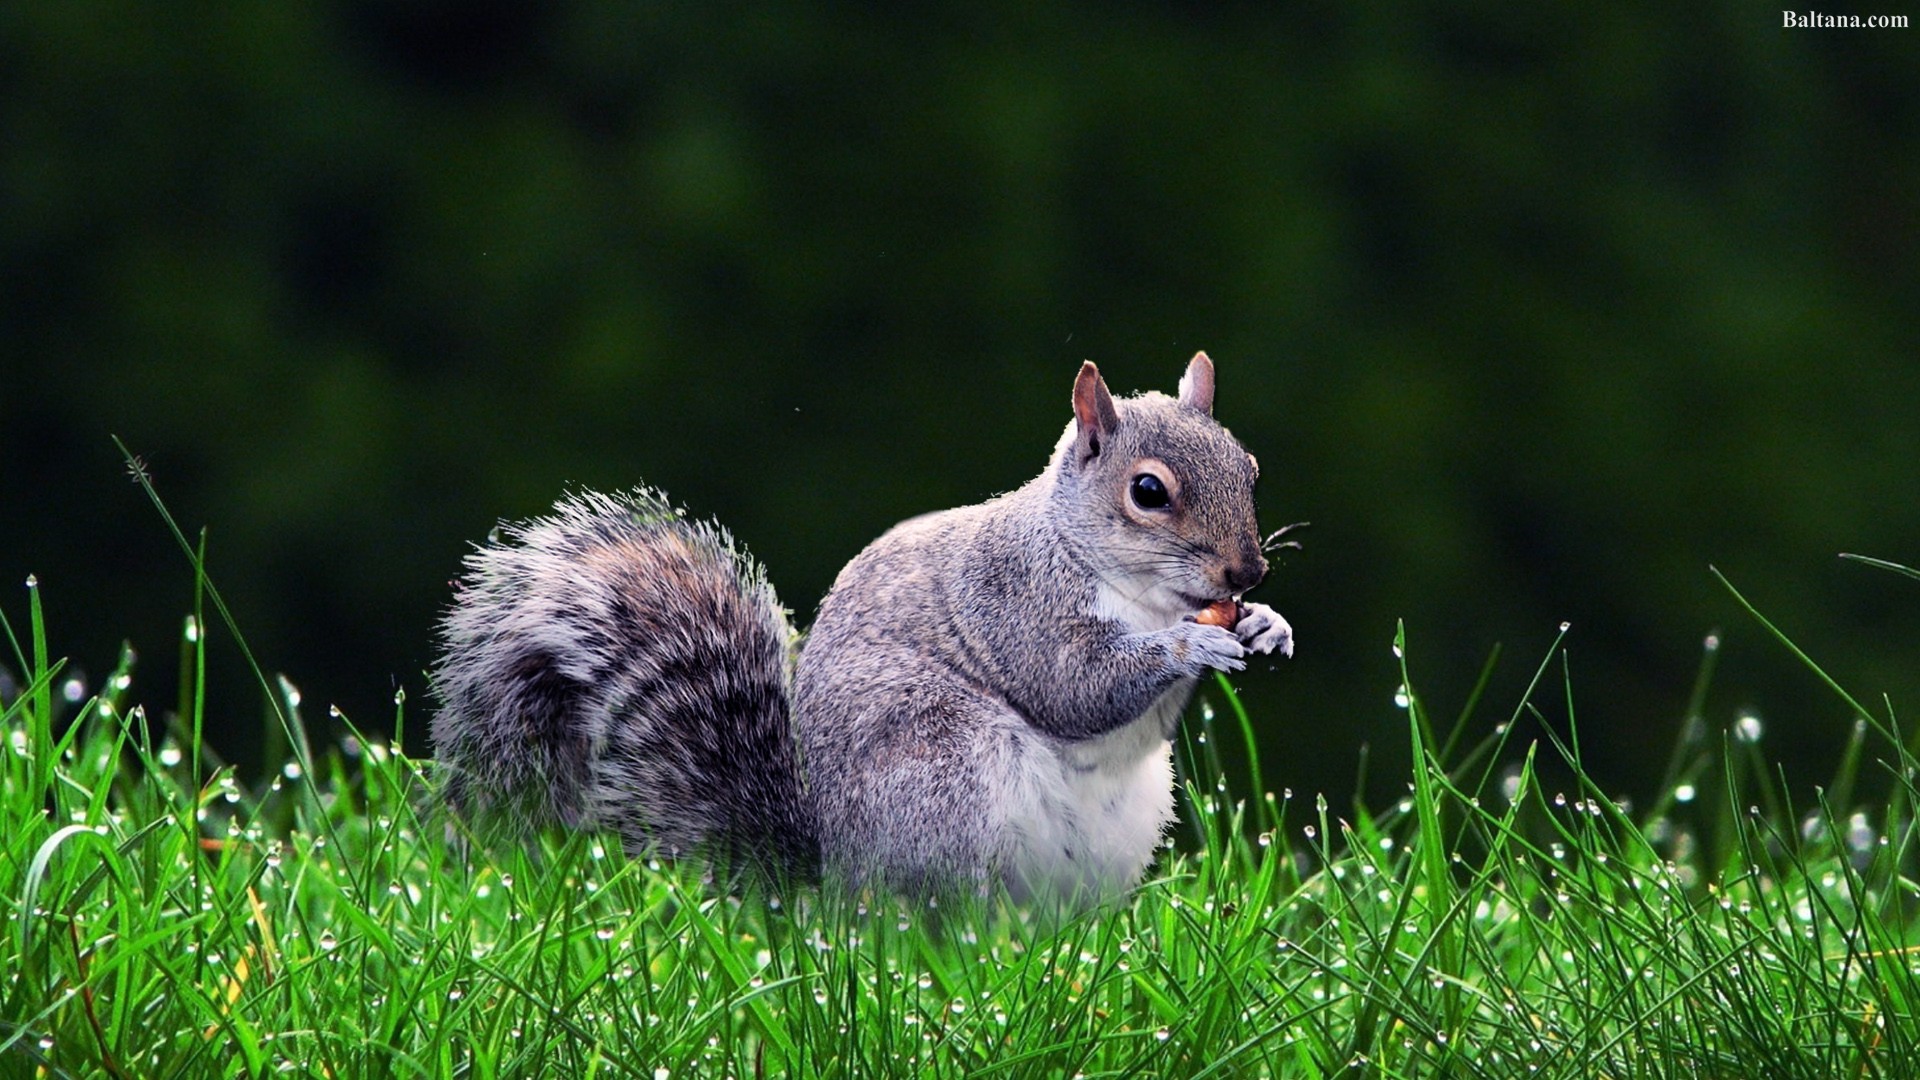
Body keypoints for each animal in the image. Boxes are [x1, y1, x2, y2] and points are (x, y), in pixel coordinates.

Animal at [430, 353, 1293, 900]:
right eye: (1148, 491)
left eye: (1250, 468)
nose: (1245, 574)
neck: (1140, 591)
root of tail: (834, 880)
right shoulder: (1017, 605)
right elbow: (1075, 687)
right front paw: (1194, 642)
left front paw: (1266, 624)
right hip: (943, 774)